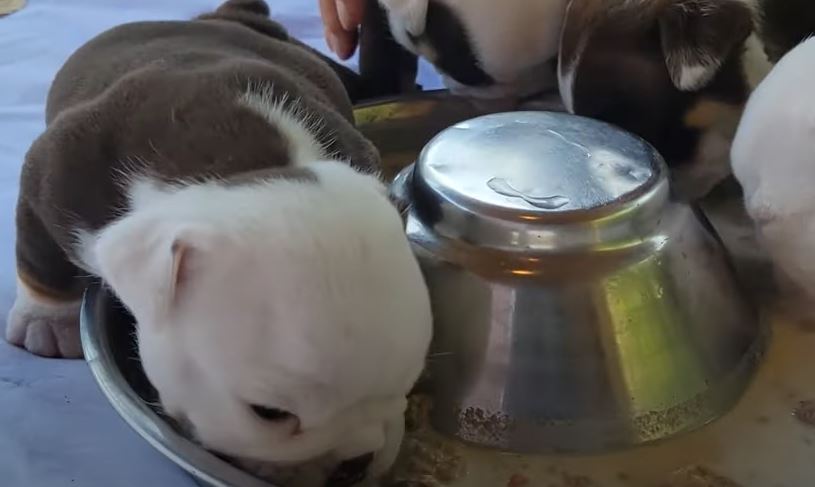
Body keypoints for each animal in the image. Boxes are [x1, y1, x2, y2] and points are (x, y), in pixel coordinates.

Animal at [4, 1, 434, 486]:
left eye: (410, 383)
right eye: (268, 414)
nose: (355, 463)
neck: (242, 168)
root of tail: (223, 16)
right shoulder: (54, 175)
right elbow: (41, 258)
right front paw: (44, 319)